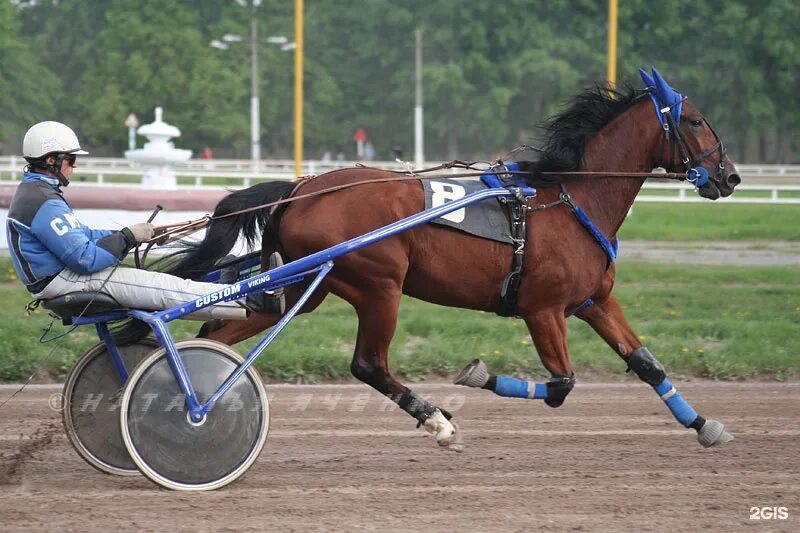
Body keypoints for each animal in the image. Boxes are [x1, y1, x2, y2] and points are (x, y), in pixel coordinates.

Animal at [142, 66, 736, 448]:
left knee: (217, 334)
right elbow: (562, 385)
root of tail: (302, 188)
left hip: (304, 288)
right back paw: (437, 421)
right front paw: (477, 377)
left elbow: (647, 363)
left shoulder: (593, 301)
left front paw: (705, 425)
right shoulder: (542, 310)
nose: (729, 176)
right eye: (696, 119)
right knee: (368, 364)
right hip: (379, 286)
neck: (569, 199)